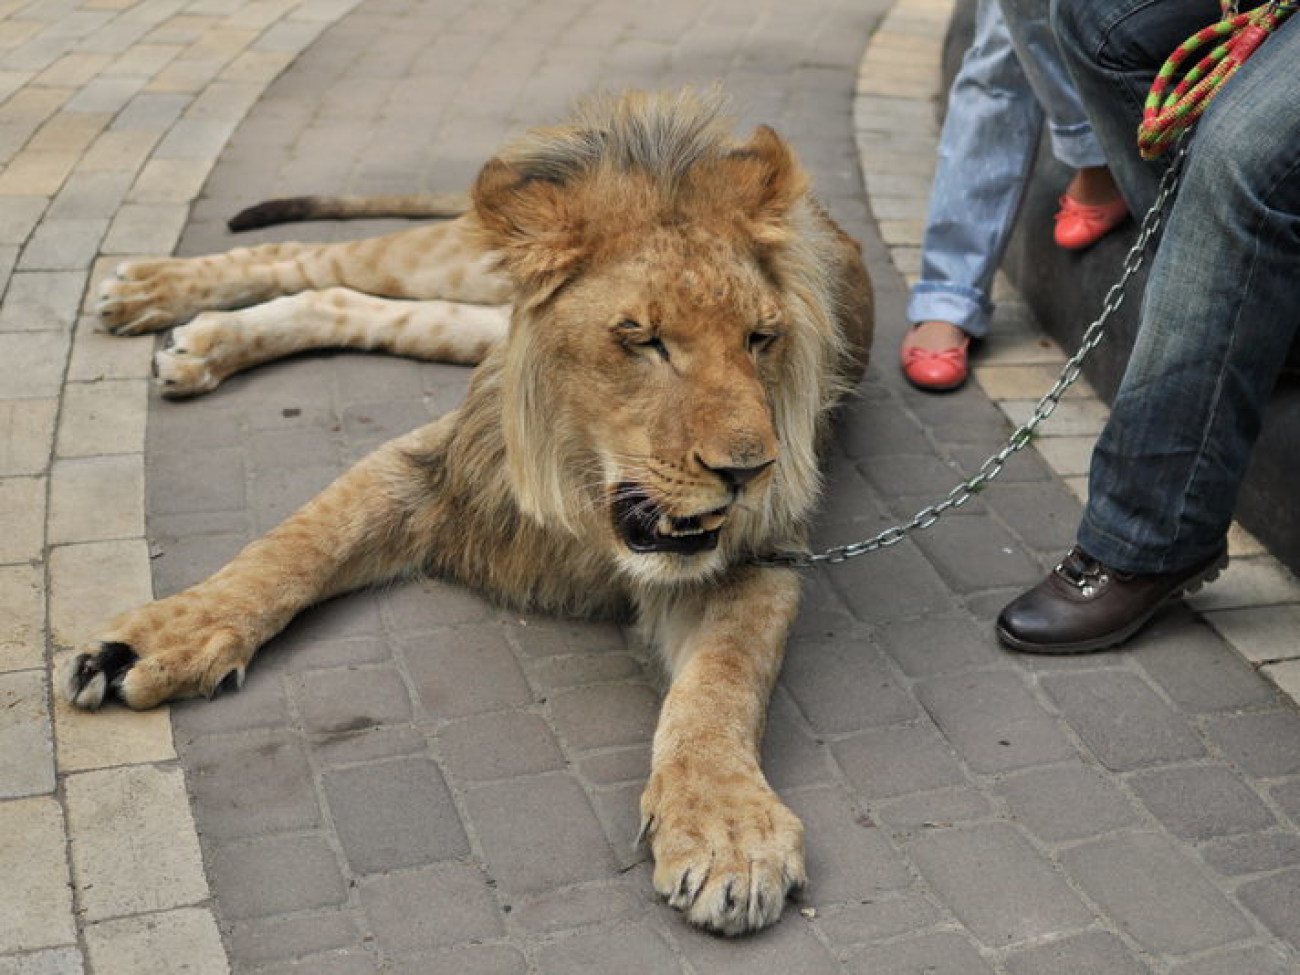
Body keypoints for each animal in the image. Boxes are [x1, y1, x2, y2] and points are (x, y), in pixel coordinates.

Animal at [61, 93, 873, 941]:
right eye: (643, 340)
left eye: (761, 338)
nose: (749, 472)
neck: (579, 483)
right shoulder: (436, 464)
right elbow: (296, 544)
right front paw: (156, 638)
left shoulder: (761, 552)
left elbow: (723, 681)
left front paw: (726, 829)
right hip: (448, 260)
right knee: (312, 258)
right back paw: (151, 290)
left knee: (348, 301)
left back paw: (204, 345)